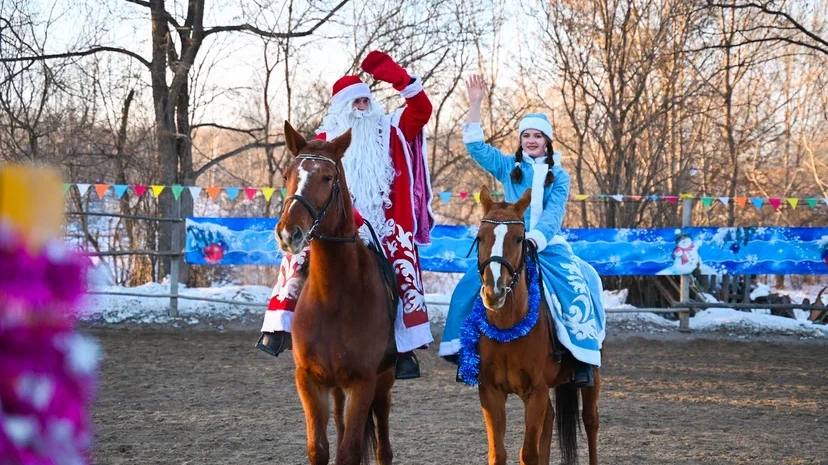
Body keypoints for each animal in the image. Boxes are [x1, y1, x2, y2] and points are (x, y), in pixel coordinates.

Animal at [276, 120, 396, 464]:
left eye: (327, 178)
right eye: (288, 175)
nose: (289, 233)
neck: (332, 298)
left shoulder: (362, 382)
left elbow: (349, 451)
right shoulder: (309, 381)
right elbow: (319, 449)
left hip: (383, 381)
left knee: (382, 444)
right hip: (338, 387)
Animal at [468, 186, 600, 464]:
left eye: (519, 239)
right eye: (480, 237)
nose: (494, 292)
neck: (509, 328)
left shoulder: (536, 392)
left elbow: (528, 453)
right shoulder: (490, 393)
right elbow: (499, 453)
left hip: (593, 374)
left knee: (591, 421)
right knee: (550, 419)